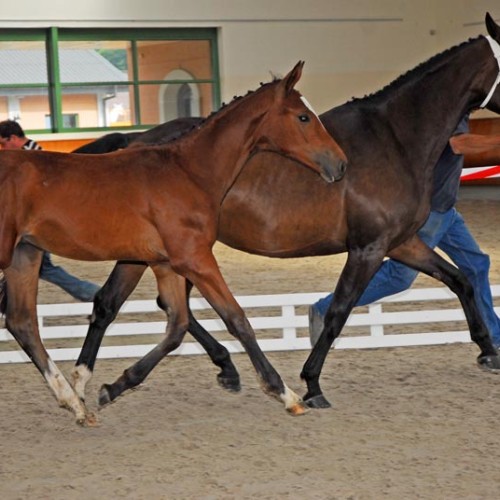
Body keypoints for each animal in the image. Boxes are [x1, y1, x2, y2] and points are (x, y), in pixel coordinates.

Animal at [0, 60, 348, 424]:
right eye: (303, 117)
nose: (340, 164)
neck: (188, 172)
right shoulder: (195, 259)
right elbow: (237, 319)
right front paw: (286, 394)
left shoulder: (166, 263)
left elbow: (177, 326)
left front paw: (114, 387)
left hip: (24, 254)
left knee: (22, 323)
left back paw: (75, 403)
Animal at [71, 12, 500, 410]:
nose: (338, 168)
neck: (394, 139)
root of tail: (136, 140)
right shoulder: (368, 248)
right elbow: (339, 311)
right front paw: (312, 384)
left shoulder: (401, 243)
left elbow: (461, 279)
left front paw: (488, 351)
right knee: (142, 307)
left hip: (154, 253)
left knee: (121, 305)